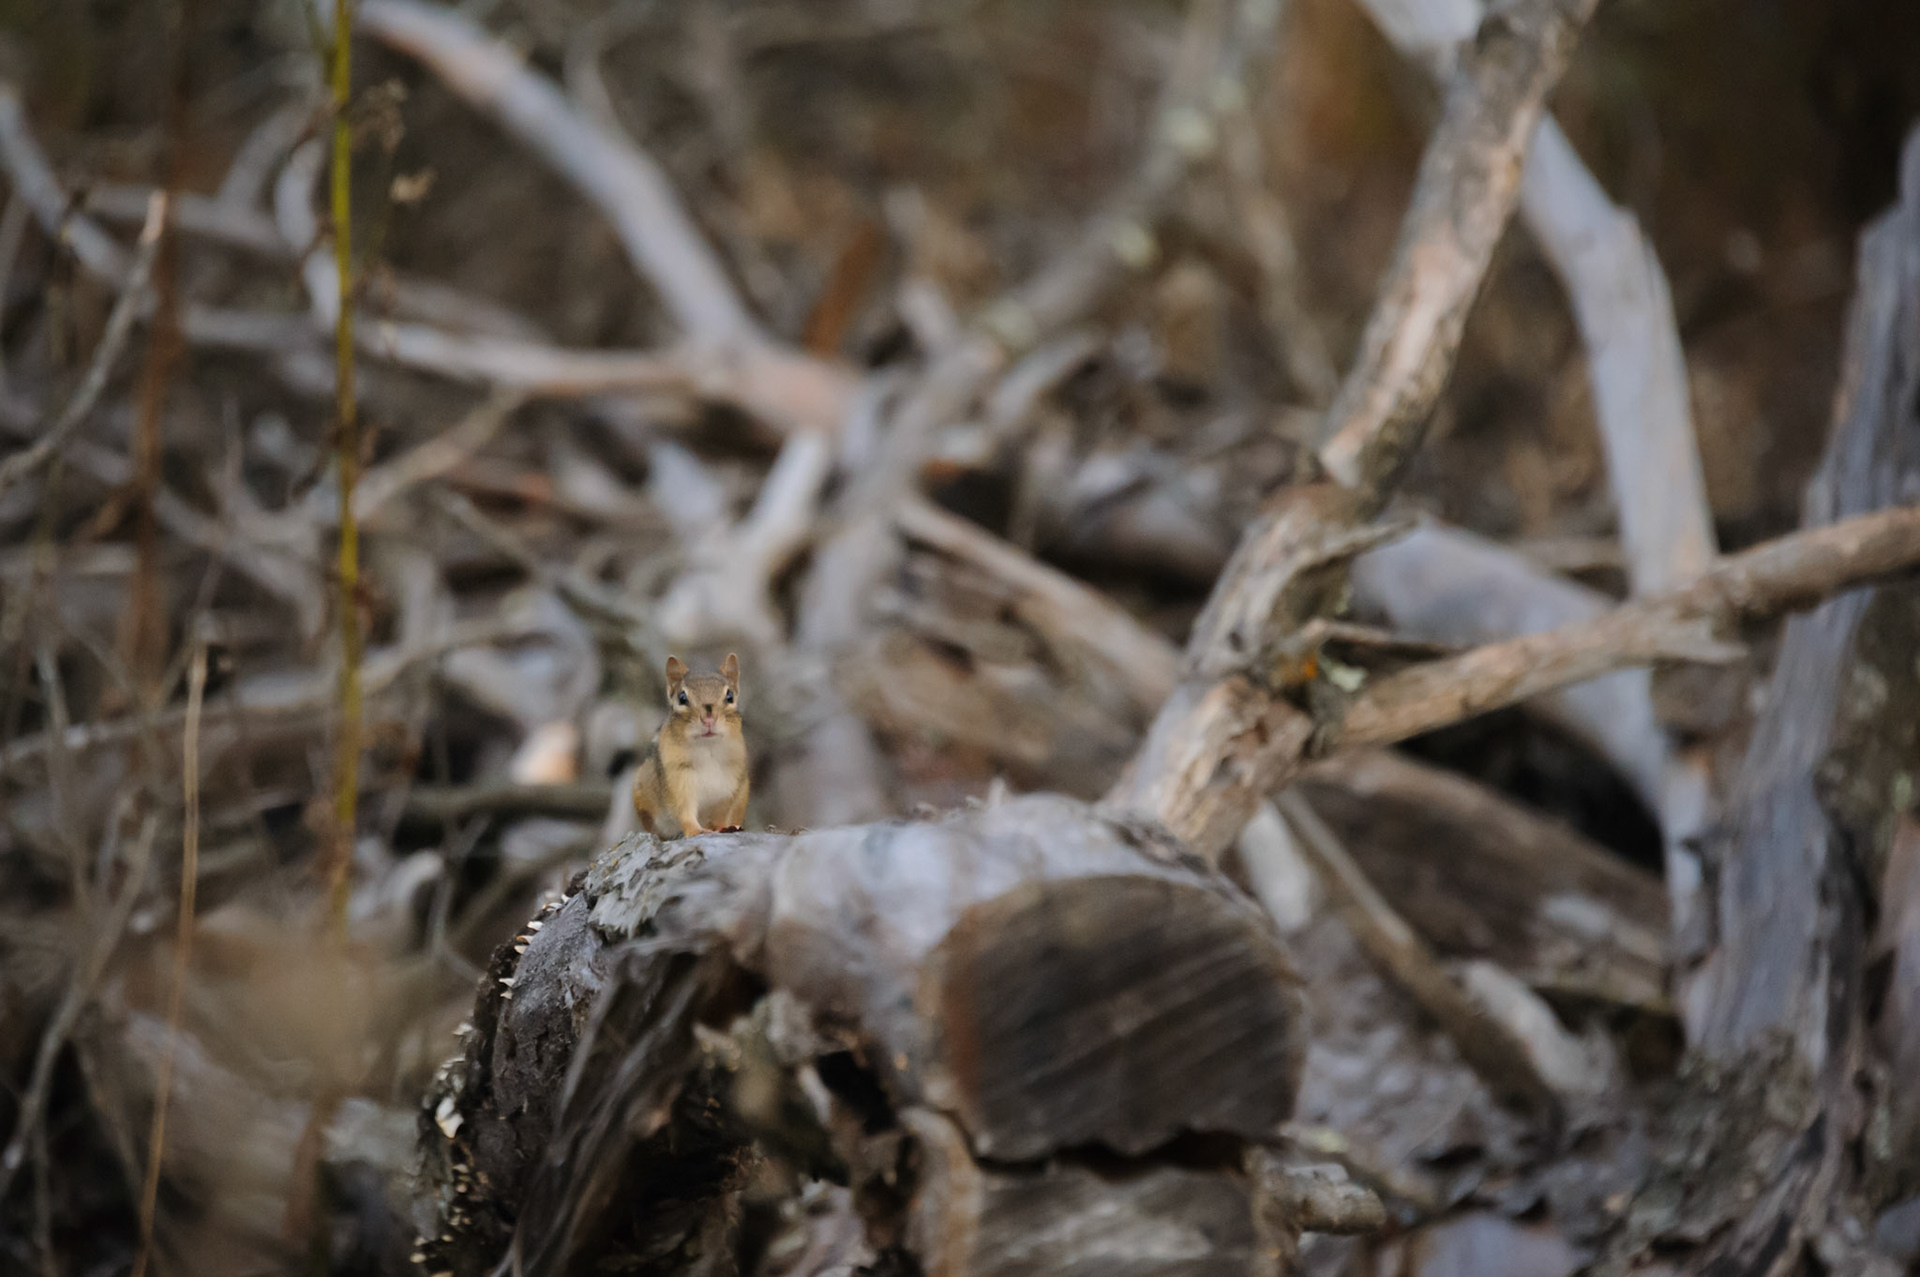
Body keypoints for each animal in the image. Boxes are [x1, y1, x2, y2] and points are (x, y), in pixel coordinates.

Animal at [630, 653, 749, 838]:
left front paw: (722, 827)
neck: (707, 748)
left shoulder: (731, 784)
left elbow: (721, 814)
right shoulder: (677, 775)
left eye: (730, 696)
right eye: (682, 697)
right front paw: (695, 830)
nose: (709, 719)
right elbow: (683, 809)